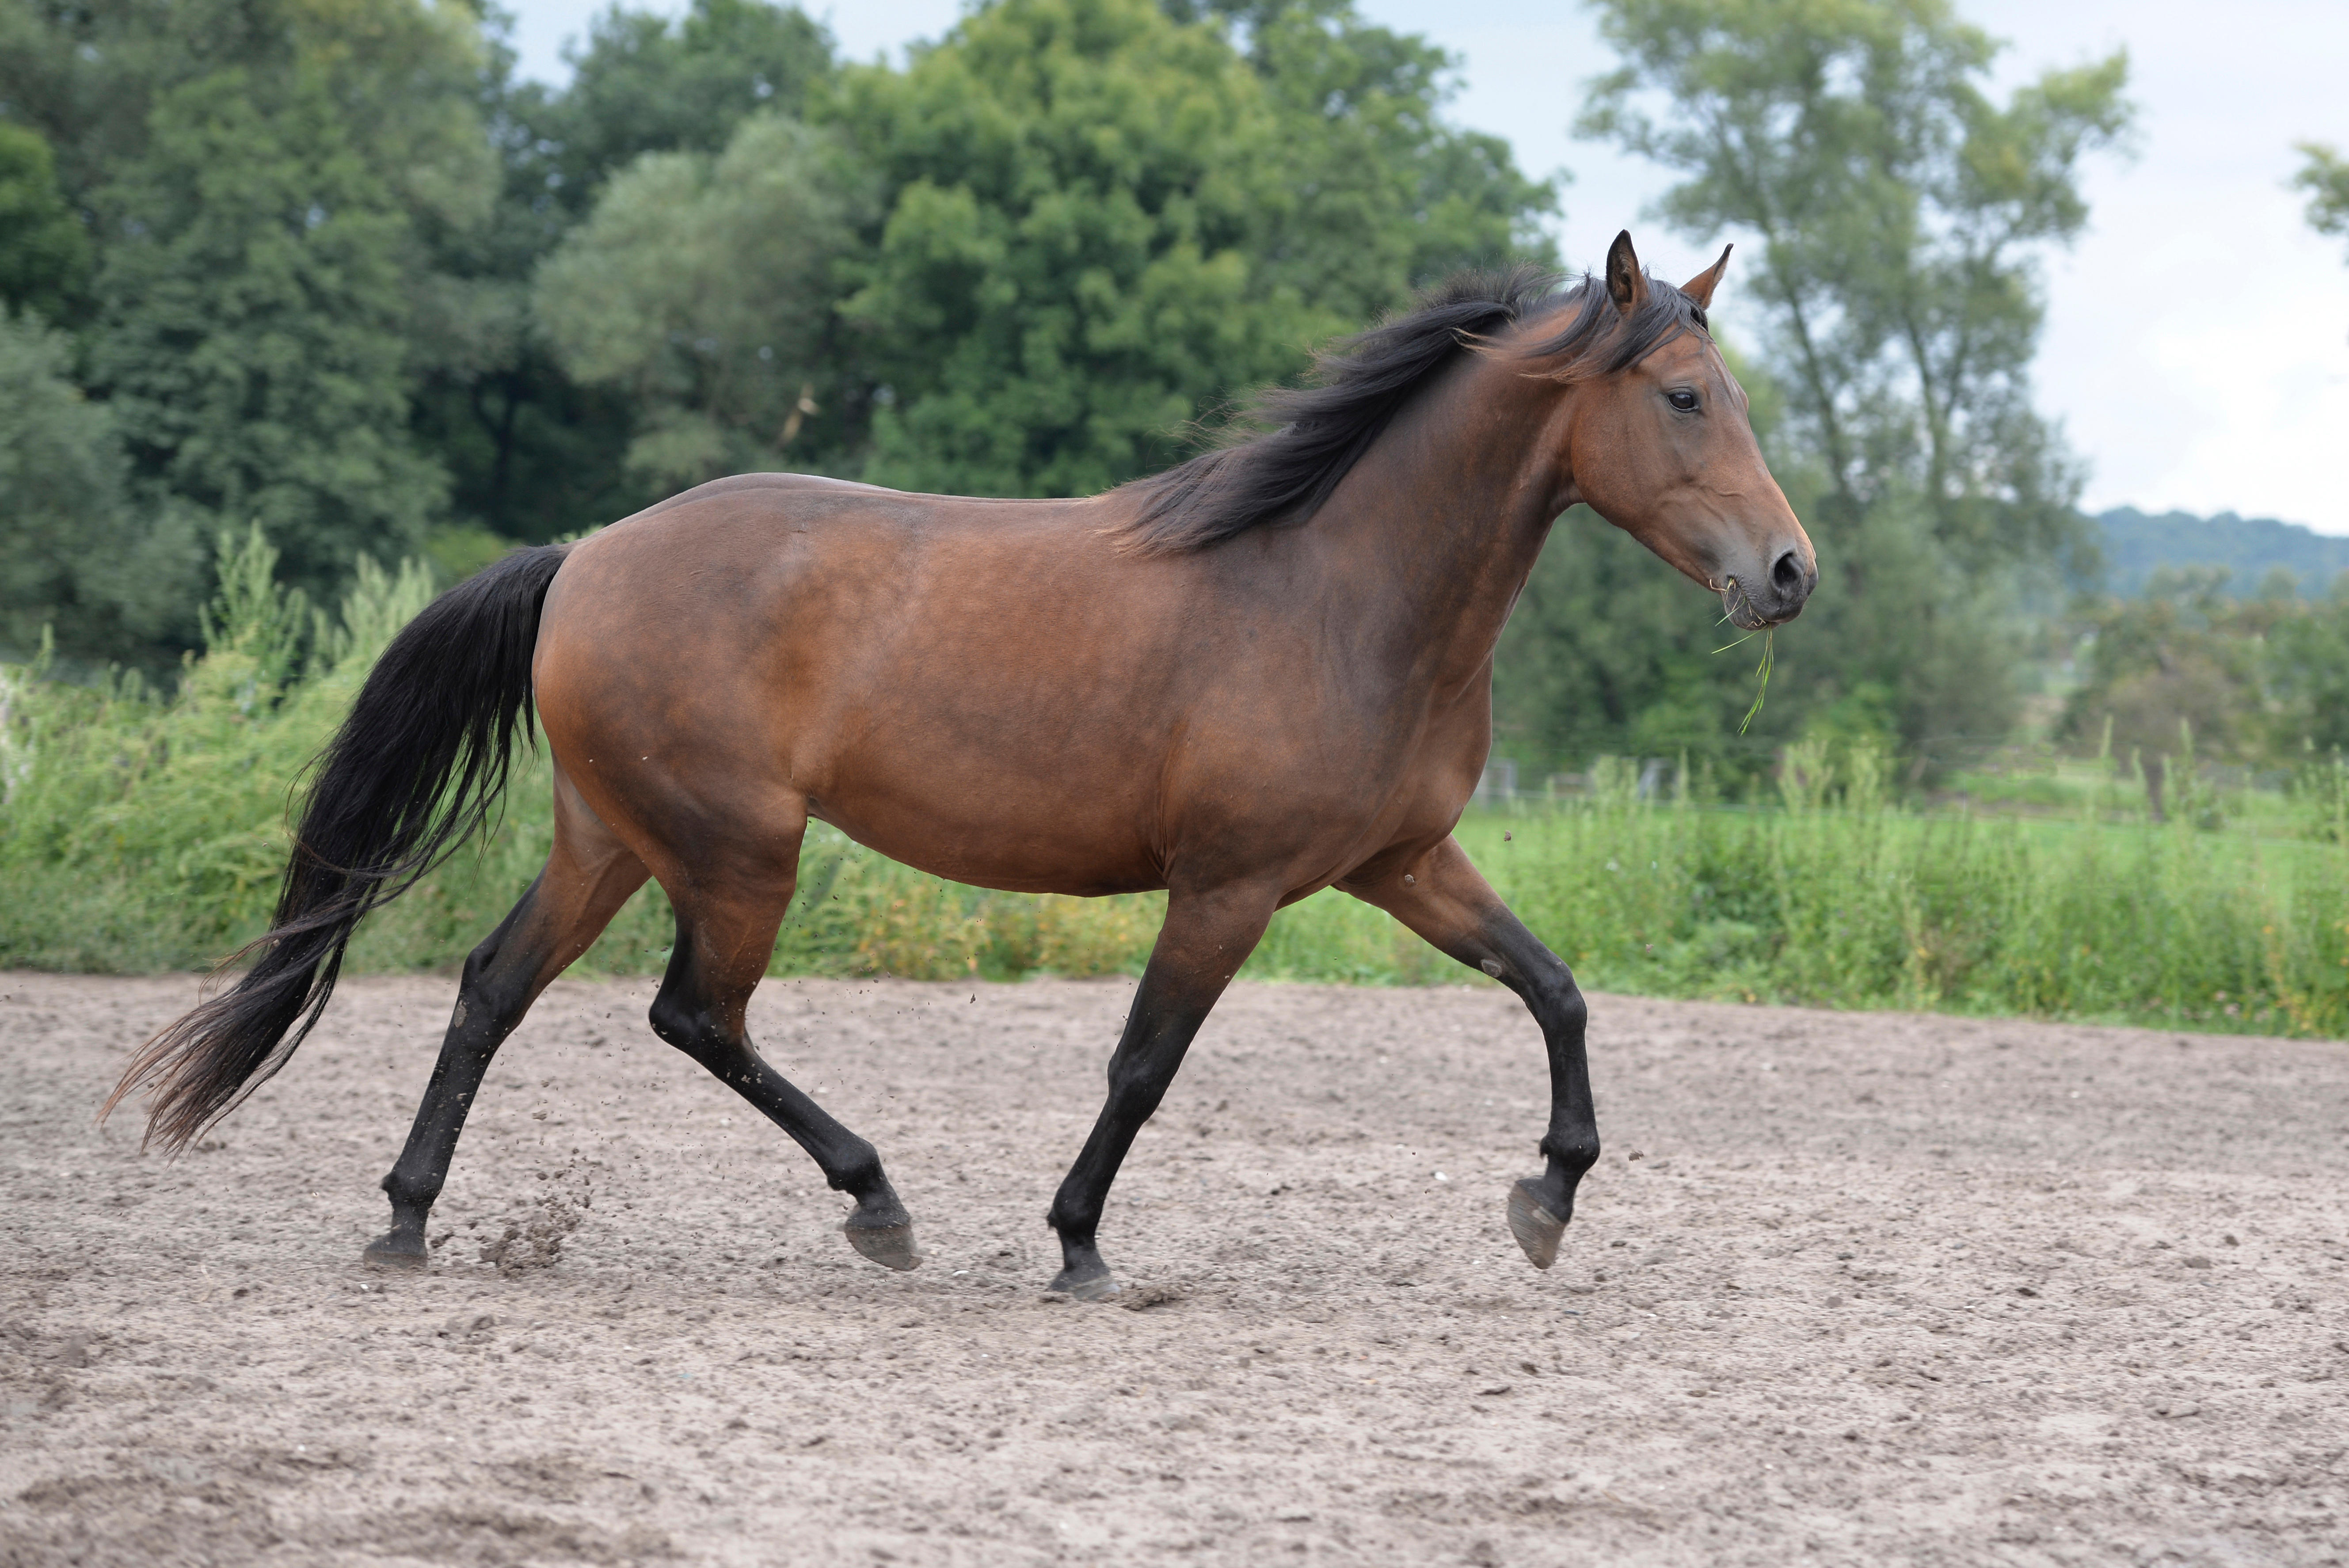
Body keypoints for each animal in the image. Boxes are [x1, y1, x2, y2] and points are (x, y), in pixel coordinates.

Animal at [110, 223, 1813, 1295]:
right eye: (1683, 397)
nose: (1789, 572)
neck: (1339, 589)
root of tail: (584, 554)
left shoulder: (1401, 863)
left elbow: (1557, 990)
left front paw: (1545, 1199)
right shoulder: (1230, 884)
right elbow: (1142, 1064)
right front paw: (1076, 1245)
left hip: (610, 835)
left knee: (491, 988)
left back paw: (406, 1223)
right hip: (736, 848)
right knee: (692, 1011)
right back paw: (877, 1204)